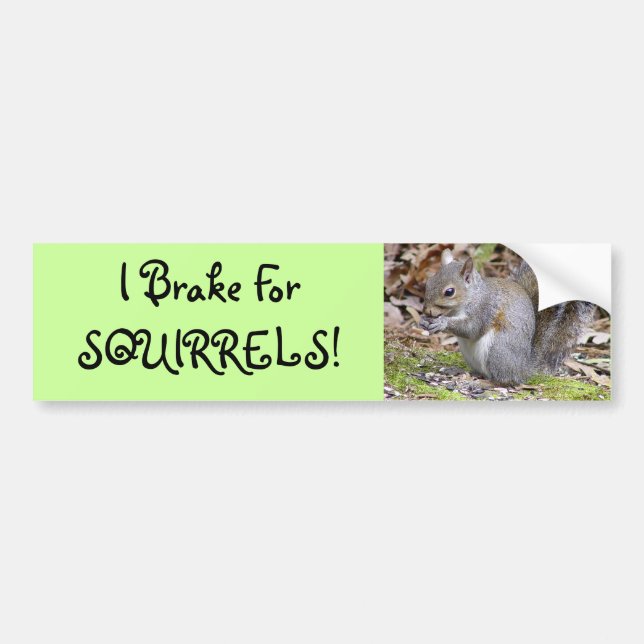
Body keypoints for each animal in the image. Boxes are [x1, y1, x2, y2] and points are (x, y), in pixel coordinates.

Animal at [419, 248, 595, 385]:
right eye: (429, 282)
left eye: (449, 292)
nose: (427, 311)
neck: (472, 296)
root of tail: (523, 369)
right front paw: (423, 322)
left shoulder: (484, 308)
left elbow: (471, 328)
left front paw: (442, 323)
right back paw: (460, 371)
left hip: (498, 349)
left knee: (502, 379)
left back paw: (481, 383)